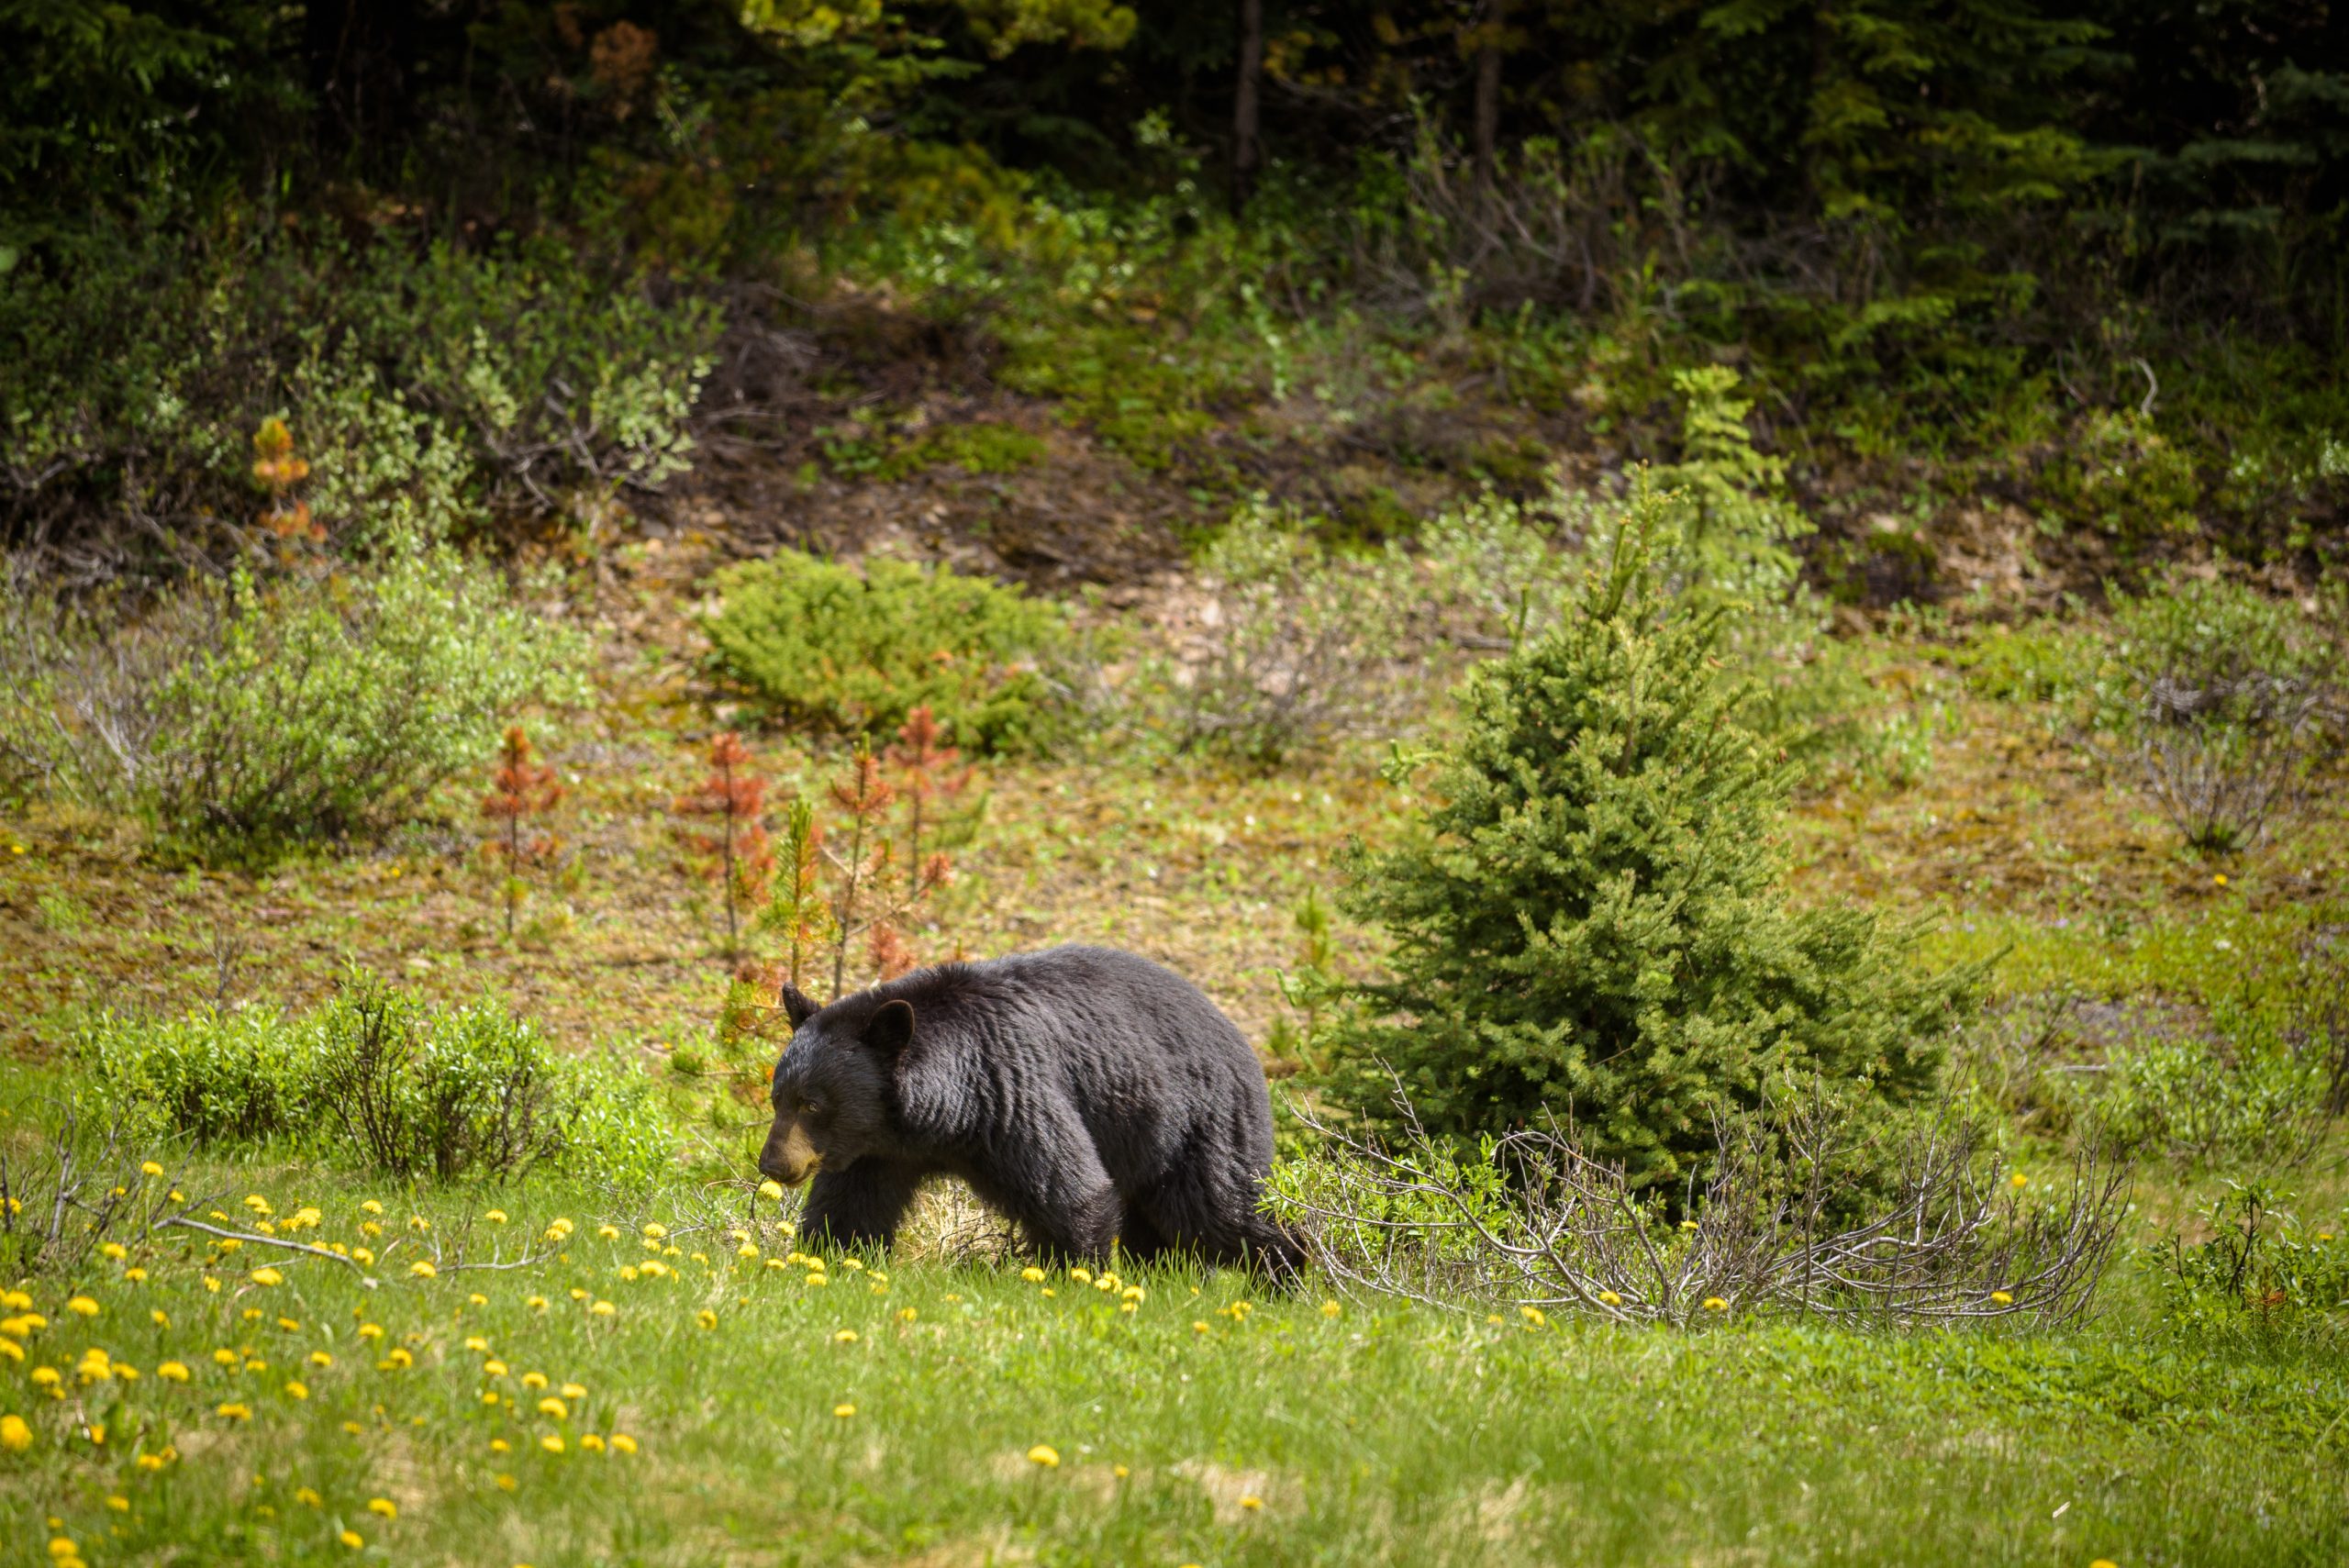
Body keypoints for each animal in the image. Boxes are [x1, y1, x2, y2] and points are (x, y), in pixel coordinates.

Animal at [757, 944, 1301, 1276]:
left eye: (812, 1103)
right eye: (778, 1098)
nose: (772, 1165)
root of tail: (1241, 1039)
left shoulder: (1013, 1092)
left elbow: (1070, 1192)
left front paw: (1073, 1278)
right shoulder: (877, 1150)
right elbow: (849, 1209)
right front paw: (825, 1262)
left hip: (1198, 1123)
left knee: (1222, 1209)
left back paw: (1285, 1275)